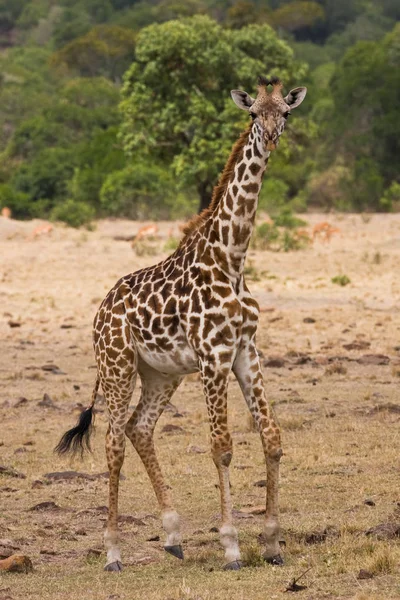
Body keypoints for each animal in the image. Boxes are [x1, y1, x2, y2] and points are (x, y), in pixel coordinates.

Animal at [55, 76, 306, 572]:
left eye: (285, 113)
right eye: (253, 114)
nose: (270, 138)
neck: (232, 258)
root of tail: (99, 312)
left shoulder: (246, 349)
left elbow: (271, 436)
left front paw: (272, 543)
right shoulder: (213, 355)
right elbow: (222, 447)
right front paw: (231, 546)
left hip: (160, 373)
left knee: (140, 428)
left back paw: (172, 535)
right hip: (117, 365)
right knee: (113, 439)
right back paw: (112, 552)